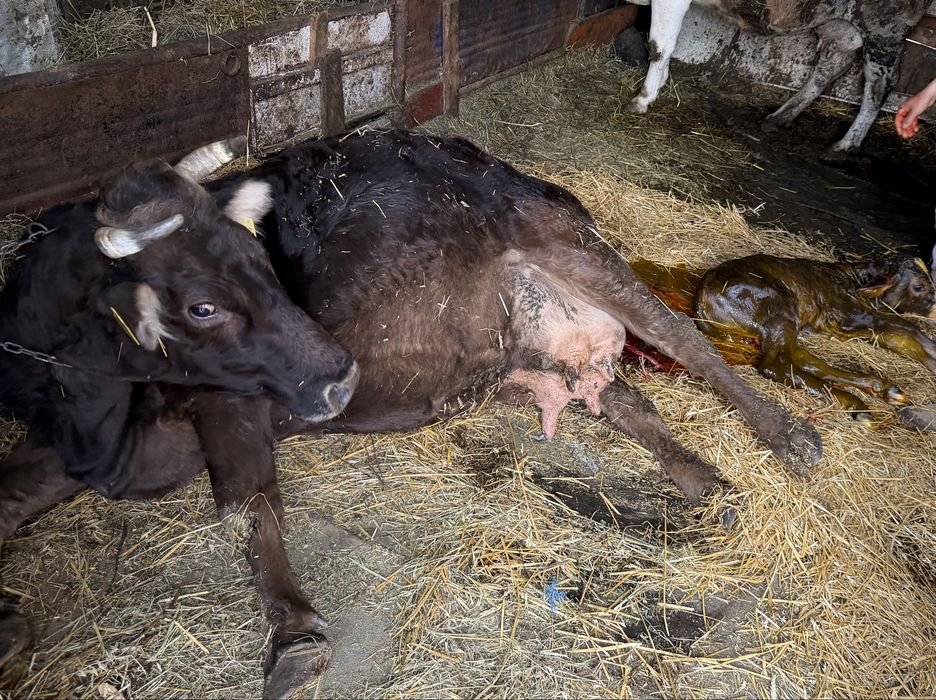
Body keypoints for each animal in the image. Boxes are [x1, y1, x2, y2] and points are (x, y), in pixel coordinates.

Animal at [0, 130, 822, 695]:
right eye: (202, 304)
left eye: (265, 263)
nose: (340, 374)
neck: (104, 424)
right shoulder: (68, 444)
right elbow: (14, 494)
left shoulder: (236, 404)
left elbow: (245, 506)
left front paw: (294, 637)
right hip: (517, 350)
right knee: (621, 395)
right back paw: (702, 480)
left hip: (564, 244)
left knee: (684, 339)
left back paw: (788, 436)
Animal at [625, 0, 926, 156]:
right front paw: (661, 83)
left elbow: (659, 45)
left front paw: (643, 99)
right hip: (839, 26)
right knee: (829, 66)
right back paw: (780, 117)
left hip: (886, 28)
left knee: (880, 85)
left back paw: (845, 145)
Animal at [693, 254, 936, 423]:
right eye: (919, 286)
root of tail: (701, 301)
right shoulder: (847, 316)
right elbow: (907, 327)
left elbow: (902, 337)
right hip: (779, 307)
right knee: (777, 364)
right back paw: (857, 404)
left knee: (805, 360)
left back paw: (881, 391)